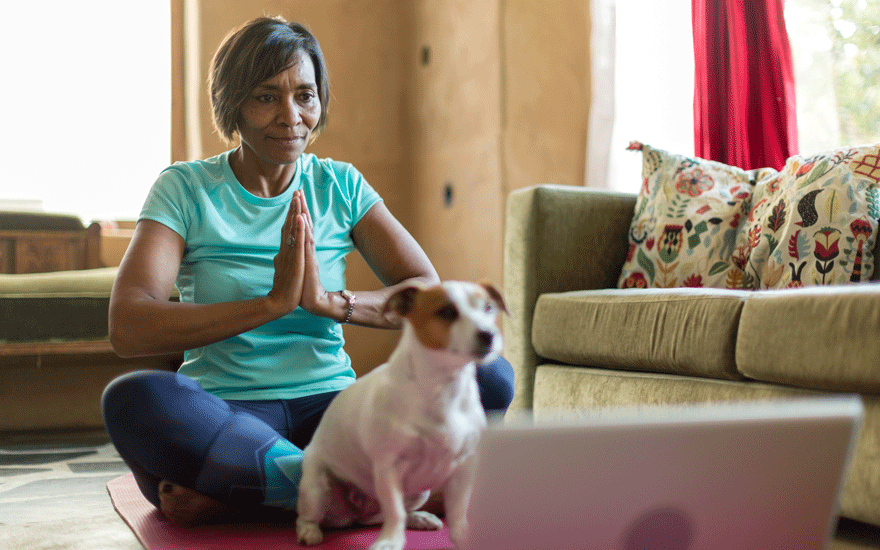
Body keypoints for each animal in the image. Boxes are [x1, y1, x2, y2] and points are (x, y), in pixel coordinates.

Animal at [294, 282, 506, 550]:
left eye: (488, 307)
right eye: (447, 311)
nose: (489, 334)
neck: (443, 388)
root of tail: (356, 515)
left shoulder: (465, 466)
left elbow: (458, 510)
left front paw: (463, 536)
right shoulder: (388, 467)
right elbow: (395, 512)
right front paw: (390, 541)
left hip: (419, 493)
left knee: (396, 513)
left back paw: (420, 518)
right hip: (317, 488)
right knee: (308, 516)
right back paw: (309, 531)